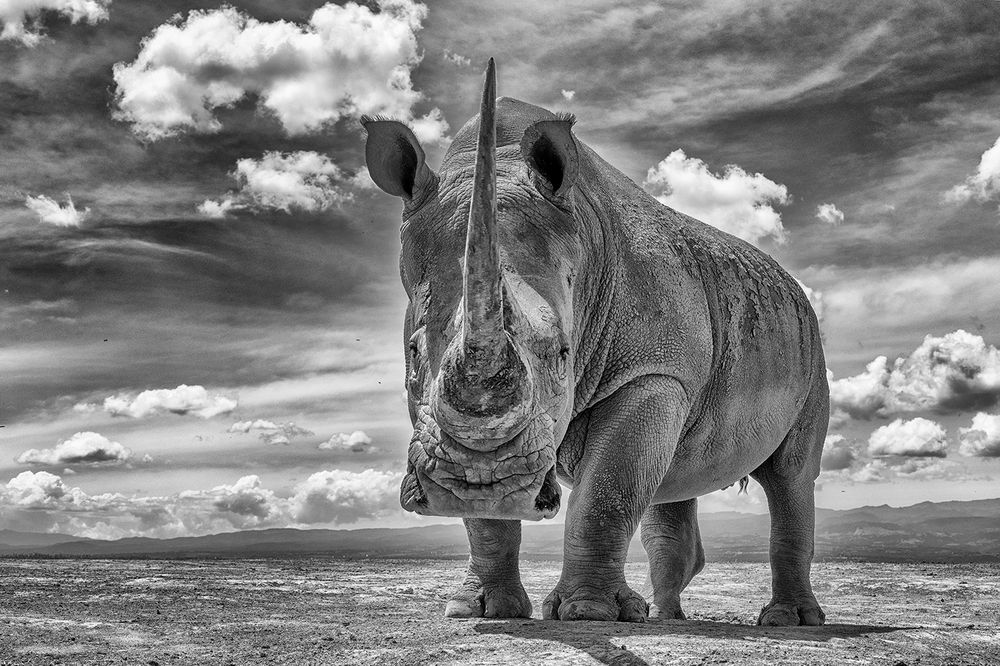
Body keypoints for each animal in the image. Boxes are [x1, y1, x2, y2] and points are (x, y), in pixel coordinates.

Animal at [362, 59, 828, 626]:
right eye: (411, 351)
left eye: (564, 353)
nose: (481, 480)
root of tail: (796, 289)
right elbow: (491, 522)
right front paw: (483, 609)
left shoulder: (653, 371)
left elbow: (607, 491)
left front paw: (588, 612)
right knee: (673, 485)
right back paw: (666, 616)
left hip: (810, 347)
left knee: (791, 475)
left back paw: (788, 620)